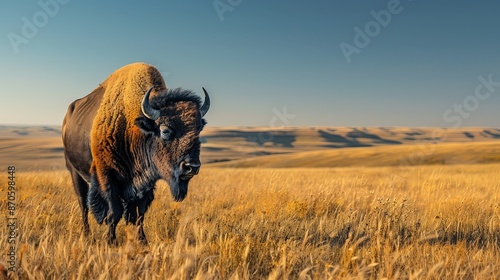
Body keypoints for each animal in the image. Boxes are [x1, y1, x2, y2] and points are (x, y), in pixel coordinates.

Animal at [63, 62, 211, 244]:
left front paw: (142, 240)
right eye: (165, 131)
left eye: (199, 129)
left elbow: (140, 213)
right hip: (73, 171)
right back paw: (86, 234)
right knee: (83, 202)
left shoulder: (146, 181)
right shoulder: (107, 176)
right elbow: (114, 212)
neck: (134, 128)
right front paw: (111, 241)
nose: (192, 166)